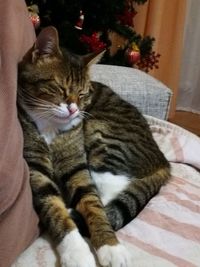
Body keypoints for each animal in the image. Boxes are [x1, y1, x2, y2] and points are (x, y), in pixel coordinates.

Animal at [17, 27, 170, 267]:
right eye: (59, 88)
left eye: (82, 93)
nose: (73, 110)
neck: (50, 126)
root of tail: (163, 161)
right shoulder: (36, 169)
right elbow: (54, 209)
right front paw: (77, 253)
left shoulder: (77, 167)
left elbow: (93, 205)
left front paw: (110, 247)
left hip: (104, 138)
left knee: (111, 189)